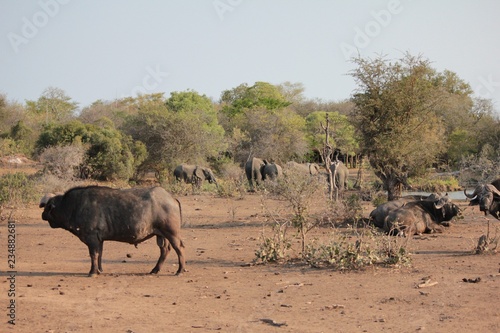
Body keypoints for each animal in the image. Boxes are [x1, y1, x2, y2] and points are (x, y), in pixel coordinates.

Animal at [39, 185, 187, 276]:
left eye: (47, 207)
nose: (42, 215)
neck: (73, 206)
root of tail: (172, 198)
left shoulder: (92, 238)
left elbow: (93, 255)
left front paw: (92, 272)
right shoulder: (99, 240)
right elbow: (99, 255)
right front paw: (99, 270)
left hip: (172, 233)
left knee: (179, 248)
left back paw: (180, 270)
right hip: (161, 235)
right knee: (165, 250)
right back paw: (155, 270)